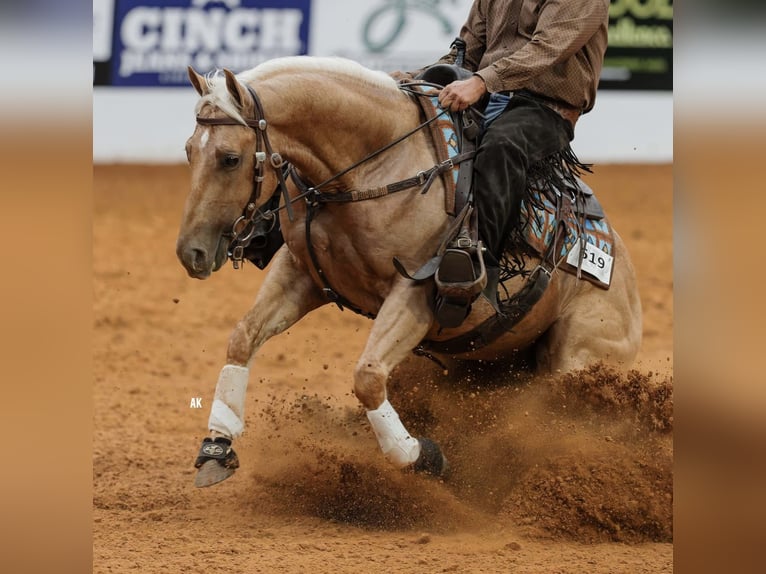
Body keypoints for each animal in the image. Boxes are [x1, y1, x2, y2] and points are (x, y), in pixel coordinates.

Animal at [176, 56, 642, 487]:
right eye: (188, 150)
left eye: (230, 158)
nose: (190, 252)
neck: (376, 168)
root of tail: (624, 276)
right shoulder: (300, 273)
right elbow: (243, 338)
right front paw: (217, 446)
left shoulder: (415, 295)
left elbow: (367, 377)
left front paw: (421, 456)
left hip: (575, 360)